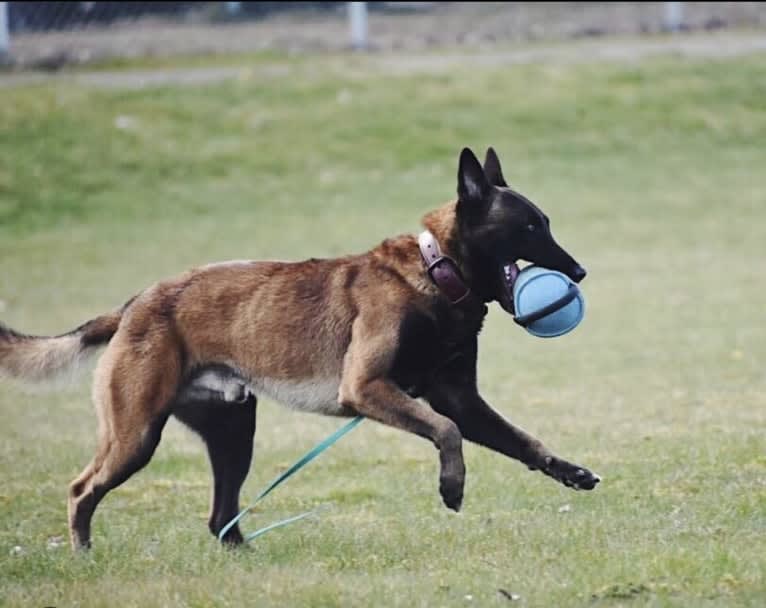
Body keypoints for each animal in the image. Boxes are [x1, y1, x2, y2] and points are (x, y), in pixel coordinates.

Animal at [0, 146, 600, 552]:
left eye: (545, 223)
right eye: (529, 227)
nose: (578, 272)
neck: (435, 273)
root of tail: (133, 305)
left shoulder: (460, 399)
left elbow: (519, 439)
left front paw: (569, 471)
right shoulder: (366, 388)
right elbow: (446, 431)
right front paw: (451, 487)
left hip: (234, 434)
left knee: (219, 518)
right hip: (137, 435)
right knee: (82, 489)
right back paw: (83, 552)